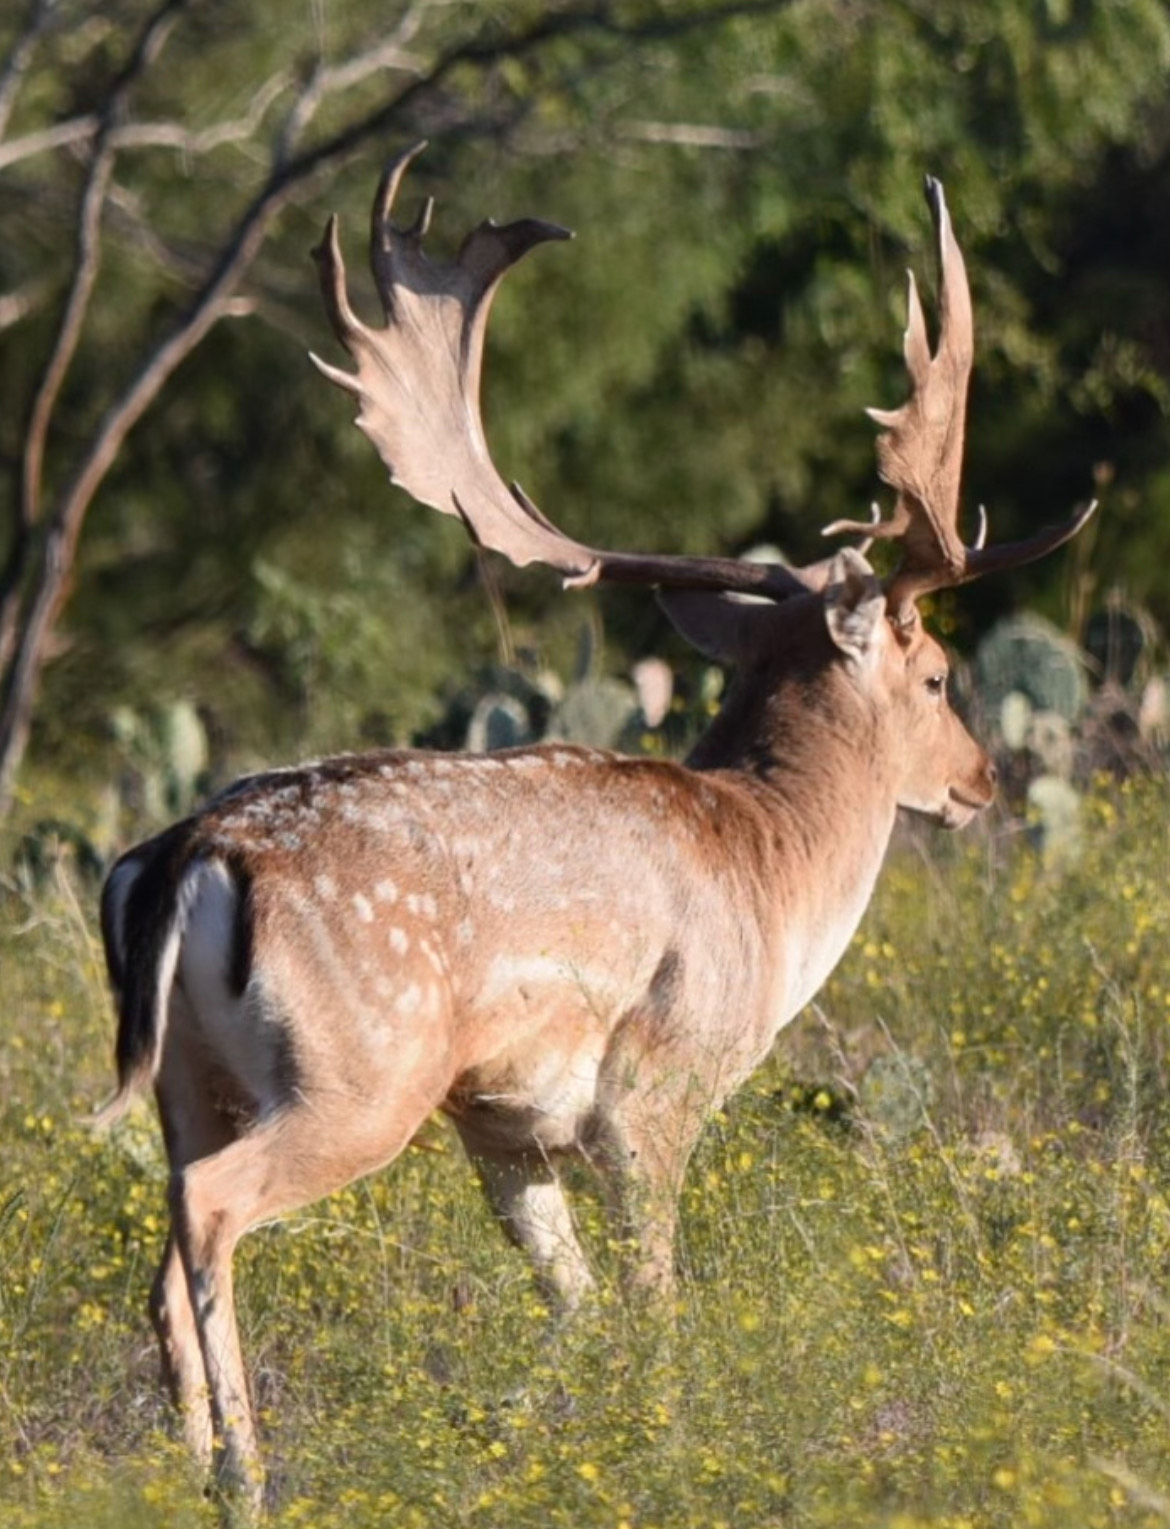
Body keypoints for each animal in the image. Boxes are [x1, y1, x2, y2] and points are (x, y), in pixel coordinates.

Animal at [95, 143, 1088, 1504]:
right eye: (937, 676)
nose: (983, 777)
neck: (772, 865)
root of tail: (193, 855)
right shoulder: (653, 1089)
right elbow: (655, 1300)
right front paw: (673, 1447)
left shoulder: (507, 1125)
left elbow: (574, 1307)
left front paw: (541, 1435)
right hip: (360, 1068)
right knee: (210, 1204)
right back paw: (247, 1470)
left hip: (188, 1074)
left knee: (157, 1241)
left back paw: (183, 1462)